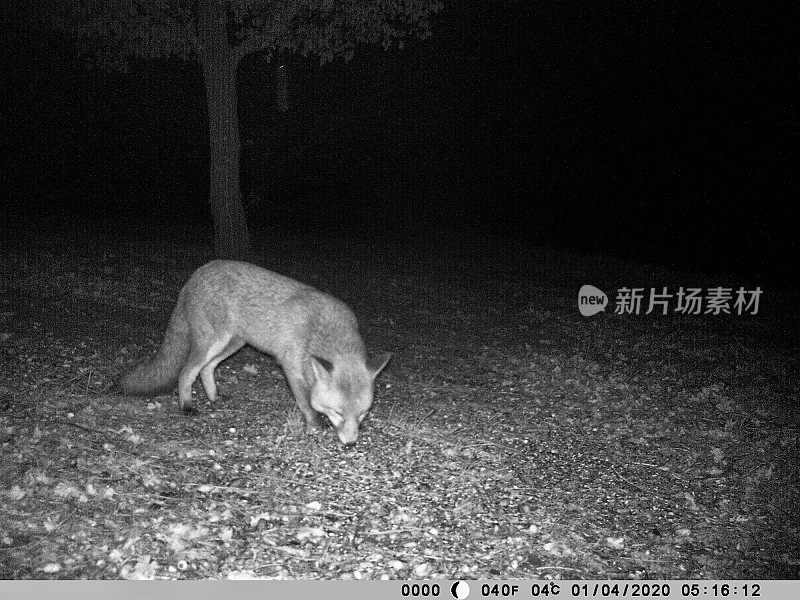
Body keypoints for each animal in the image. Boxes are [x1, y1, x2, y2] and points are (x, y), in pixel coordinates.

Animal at [119, 262, 390, 446]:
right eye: (337, 413)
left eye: (363, 414)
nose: (350, 444)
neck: (322, 331)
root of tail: (199, 272)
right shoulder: (291, 366)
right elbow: (305, 401)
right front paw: (314, 424)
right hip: (211, 342)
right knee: (186, 372)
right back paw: (186, 405)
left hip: (233, 343)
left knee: (208, 368)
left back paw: (214, 397)